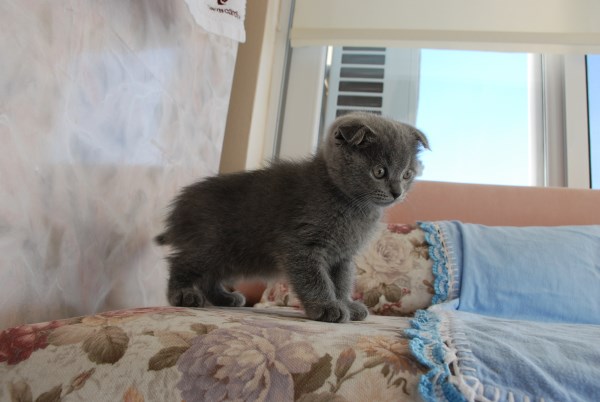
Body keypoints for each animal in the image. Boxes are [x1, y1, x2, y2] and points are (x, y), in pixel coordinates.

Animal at [155, 113, 426, 324]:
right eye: (379, 171)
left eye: (407, 174)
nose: (397, 192)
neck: (351, 204)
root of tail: (181, 204)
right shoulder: (301, 244)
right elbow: (315, 278)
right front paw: (326, 307)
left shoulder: (343, 255)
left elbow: (342, 281)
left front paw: (345, 304)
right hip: (213, 244)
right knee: (182, 262)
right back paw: (182, 294)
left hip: (232, 256)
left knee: (210, 277)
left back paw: (225, 298)